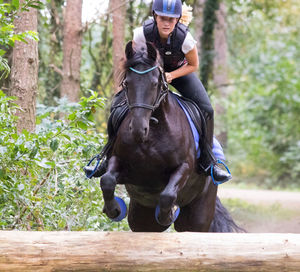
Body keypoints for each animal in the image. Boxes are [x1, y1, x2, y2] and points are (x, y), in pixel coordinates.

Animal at [99, 41, 243, 233]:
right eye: (127, 83)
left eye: (155, 84)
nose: (138, 130)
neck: (152, 133)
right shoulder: (119, 161)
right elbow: (107, 180)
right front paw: (114, 209)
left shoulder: (184, 167)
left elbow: (167, 194)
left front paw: (167, 214)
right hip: (141, 218)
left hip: (198, 217)